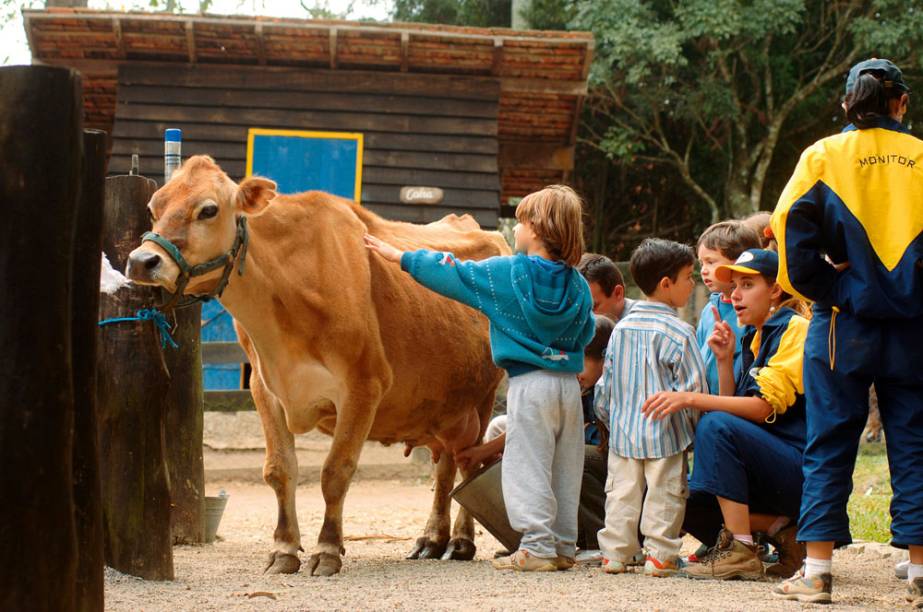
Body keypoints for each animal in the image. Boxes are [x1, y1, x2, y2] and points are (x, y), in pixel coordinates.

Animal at [126, 155, 508, 576]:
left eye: (208, 209)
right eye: (153, 207)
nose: (142, 261)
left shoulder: (364, 385)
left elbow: (335, 472)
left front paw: (327, 549)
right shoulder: (264, 387)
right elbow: (279, 470)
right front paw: (284, 549)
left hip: (482, 397)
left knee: (469, 464)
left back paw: (460, 540)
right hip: (445, 405)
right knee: (446, 468)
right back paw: (432, 538)